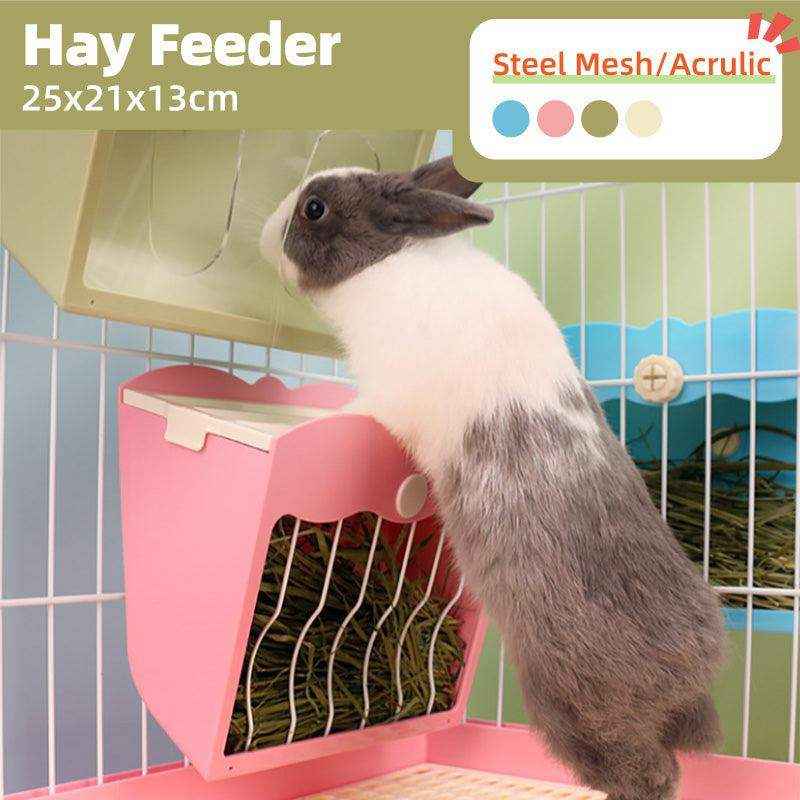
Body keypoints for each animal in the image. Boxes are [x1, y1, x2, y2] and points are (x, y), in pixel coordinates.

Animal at [260, 156, 727, 800]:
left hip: (577, 712)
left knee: (650, 774)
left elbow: (362, 409)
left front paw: (319, 416)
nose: (264, 231)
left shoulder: (387, 394)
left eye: (314, 208)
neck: (392, 258)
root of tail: (688, 669)